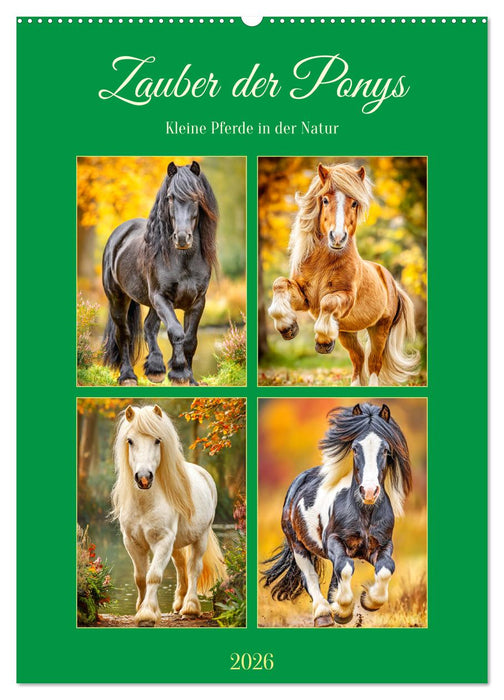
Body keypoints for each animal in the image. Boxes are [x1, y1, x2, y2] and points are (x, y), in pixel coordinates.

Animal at [102, 160, 218, 386]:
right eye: (170, 197)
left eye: (196, 197)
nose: (182, 238)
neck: (183, 260)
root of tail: (118, 234)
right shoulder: (161, 298)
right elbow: (176, 332)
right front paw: (179, 373)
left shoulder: (197, 302)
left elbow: (190, 340)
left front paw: (190, 379)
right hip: (118, 299)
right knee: (124, 335)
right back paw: (128, 376)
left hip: (152, 303)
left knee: (149, 327)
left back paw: (155, 369)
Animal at [111, 404, 226, 627]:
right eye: (130, 441)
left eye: (158, 440)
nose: (144, 478)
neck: (146, 503)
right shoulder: (132, 542)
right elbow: (140, 577)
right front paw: (141, 609)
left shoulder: (162, 540)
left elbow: (153, 576)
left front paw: (147, 614)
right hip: (177, 544)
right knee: (181, 568)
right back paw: (179, 605)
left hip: (200, 537)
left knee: (193, 568)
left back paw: (190, 608)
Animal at [262, 402, 412, 627]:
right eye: (355, 448)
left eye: (385, 449)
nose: (369, 491)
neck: (364, 513)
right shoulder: (333, 541)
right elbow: (345, 569)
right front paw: (343, 609)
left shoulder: (381, 545)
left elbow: (385, 568)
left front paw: (367, 601)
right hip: (298, 546)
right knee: (310, 576)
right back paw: (323, 614)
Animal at [268, 162, 420, 386]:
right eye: (324, 199)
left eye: (354, 202)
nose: (337, 237)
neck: (323, 263)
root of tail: (391, 282)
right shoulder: (305, 299)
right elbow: (279, 283)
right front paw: (287, 327)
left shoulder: (344, 299)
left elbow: (328, 302)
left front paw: (322, 342)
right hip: (347, 332)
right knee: (358, 360)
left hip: (379, 328)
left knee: (373, 364)